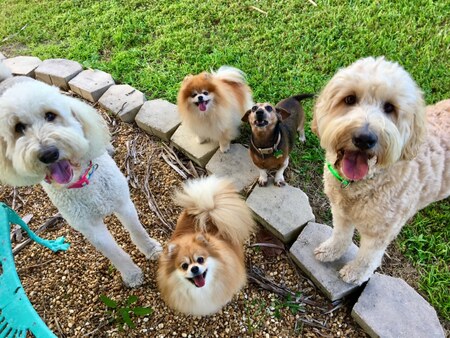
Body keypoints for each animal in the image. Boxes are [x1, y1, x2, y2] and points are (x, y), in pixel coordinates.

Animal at [0, 62, 162, 286]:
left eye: (50, 115)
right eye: (18, 128)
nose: (48, 154)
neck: (83, 181)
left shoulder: (123, 203)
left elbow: (137, 230)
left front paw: (151, 249)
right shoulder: (89, 227)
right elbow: (113, 252)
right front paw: (131, 275)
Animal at [312, 57, 450, 286]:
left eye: (389, 107)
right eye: (349, 99)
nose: (364, 138)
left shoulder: (381, 232)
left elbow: (368, 257)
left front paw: (355, 273)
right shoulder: (340, 210)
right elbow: (341, 235)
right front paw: (331, 250)